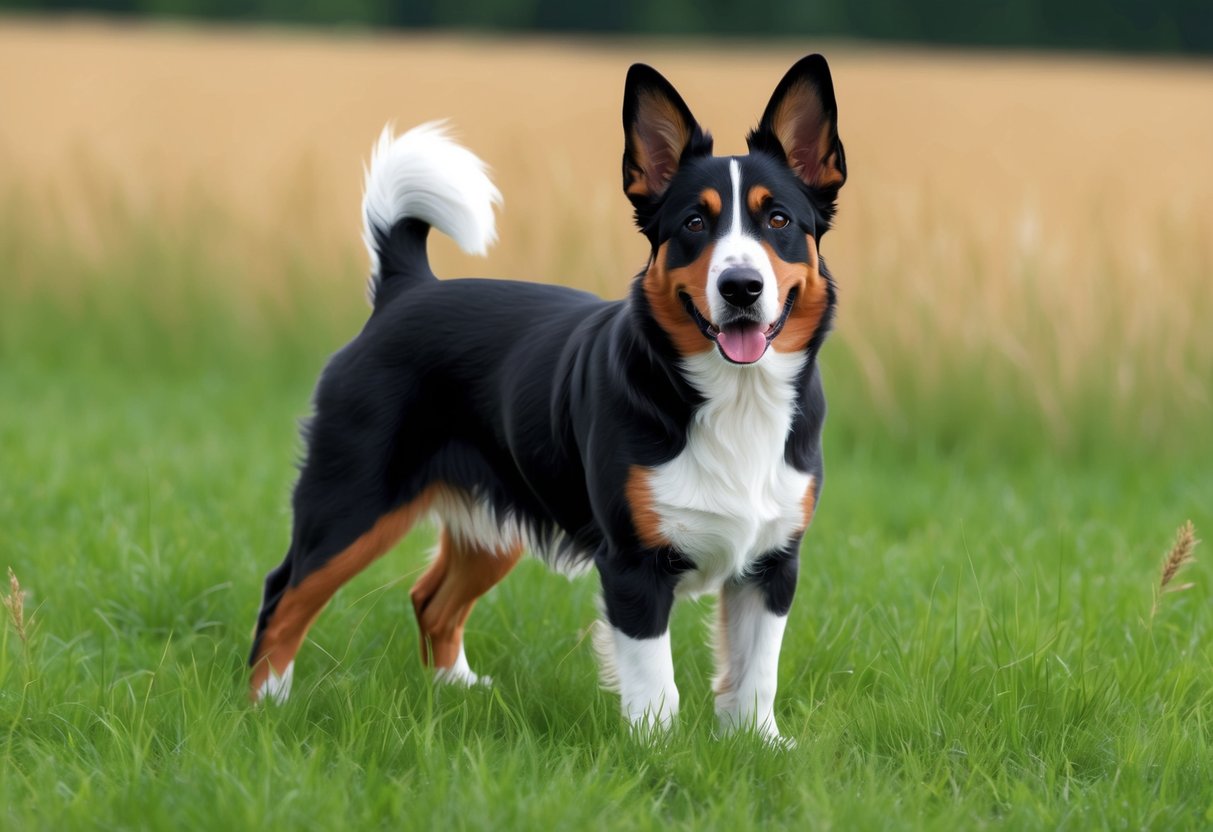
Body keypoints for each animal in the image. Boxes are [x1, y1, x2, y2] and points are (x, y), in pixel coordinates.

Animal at [251, 53, 849, 742]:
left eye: (778, 220)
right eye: (695, 224)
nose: (742, 286)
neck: (734, 402)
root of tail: (407, 289)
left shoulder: (772, 563)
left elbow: (756, 674)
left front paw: (758, 745)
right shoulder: (633, 565)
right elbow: (656, 684)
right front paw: (657, 751)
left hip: (491, 523)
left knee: (431, 600)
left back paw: (458, 690)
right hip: (350, 501)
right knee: (284, 592)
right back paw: (265, 704)